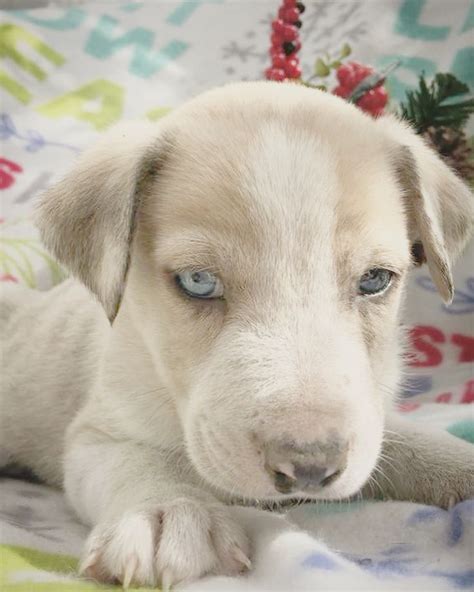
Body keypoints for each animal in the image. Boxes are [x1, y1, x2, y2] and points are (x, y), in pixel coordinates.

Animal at [0, 82, 474, 588]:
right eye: (198, 281)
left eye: (375, 280)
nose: (311, 467)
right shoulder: (98, 434)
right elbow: (137, 461)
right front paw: (167, 510)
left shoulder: (369, 416)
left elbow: (414, 444)